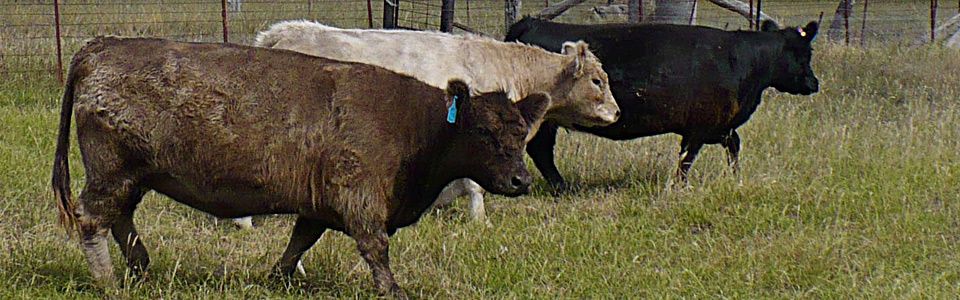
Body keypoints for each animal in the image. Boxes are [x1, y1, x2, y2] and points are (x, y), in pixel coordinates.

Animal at [52, 36, 548, 296]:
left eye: (522, 132)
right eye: (483, 132)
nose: (521, 180)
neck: (418, 124)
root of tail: (103, 45)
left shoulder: (319, 203)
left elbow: (300, 240)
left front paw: (275, 277)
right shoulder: (359, 196)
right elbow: (375, 248)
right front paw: (393, 290)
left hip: (133, 176)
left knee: (121, 218)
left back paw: (141, 266)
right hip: (112, 173)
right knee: (93, 220)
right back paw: (108, 281)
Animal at [506, 17, 820, 189]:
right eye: (806, 53)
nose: (814, 83)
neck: (741, 60)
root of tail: (532, 21)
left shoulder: (718, 125)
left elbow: (733, 145)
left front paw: (734, 176)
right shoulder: (700, 127)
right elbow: (687, 159)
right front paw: (680, 186)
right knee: (541, 151)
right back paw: (563, 187)